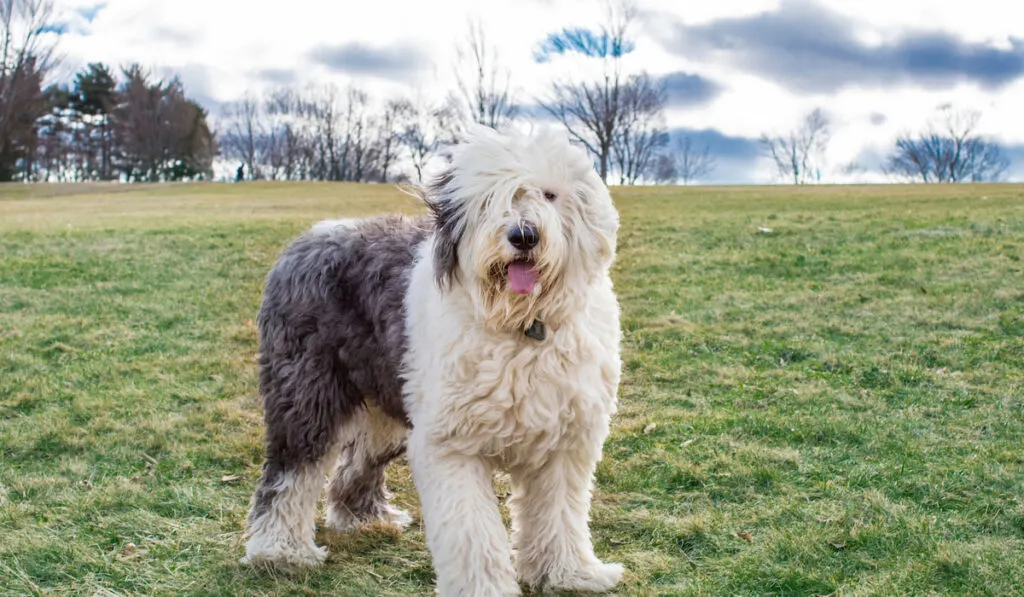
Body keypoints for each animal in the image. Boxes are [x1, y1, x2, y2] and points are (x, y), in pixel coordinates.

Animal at [241, 123, 622, 593]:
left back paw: (366, 518)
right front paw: (485, 589)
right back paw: (280, 551)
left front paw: (570, 574)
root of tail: (306, 238)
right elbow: (474, 535)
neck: (521, 325)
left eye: (550, 194)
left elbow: (560, 516)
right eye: (489, 199)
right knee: (290, 473)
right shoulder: (452, 448)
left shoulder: (564, 444)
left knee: (357, 460)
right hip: (308, 392)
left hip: (390, 399)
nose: (523, 235)